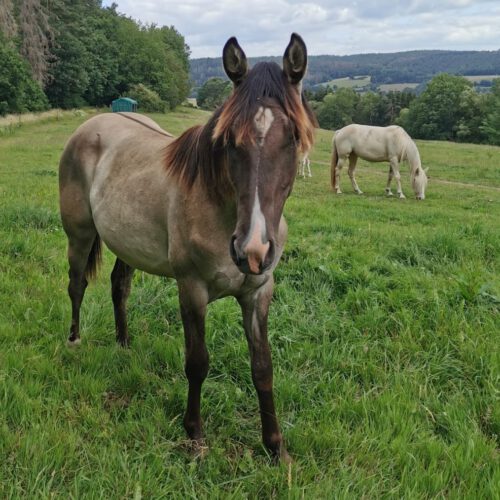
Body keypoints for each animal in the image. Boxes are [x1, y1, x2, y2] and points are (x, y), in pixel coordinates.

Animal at [59, 35, 316, 462]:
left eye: (293, 138)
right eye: (229, 141)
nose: (252, 249)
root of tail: (90, 126)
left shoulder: (259, 291)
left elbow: (263, 366)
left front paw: (275, 447)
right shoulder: (191, 289)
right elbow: (197, 363)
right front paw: (194, 436)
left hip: (127, 244)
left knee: (119, 286)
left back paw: (124, 345)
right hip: (79, 234)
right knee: (77, 284)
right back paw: (75, 341)